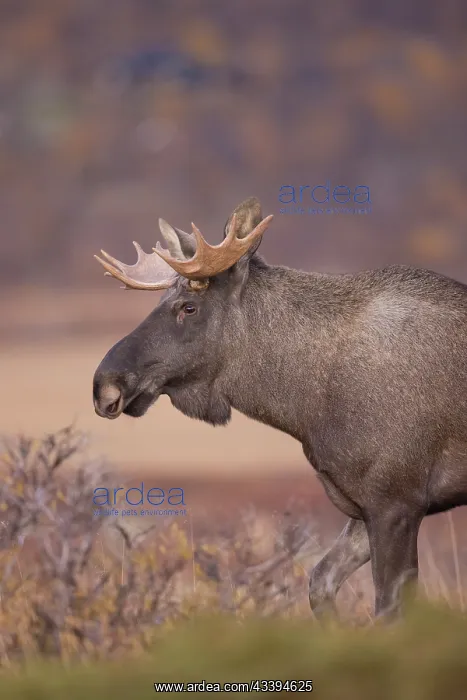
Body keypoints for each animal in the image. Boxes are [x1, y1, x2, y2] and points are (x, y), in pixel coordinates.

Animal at [93, 196, 467, 619]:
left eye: (188, 307)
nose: (104, 385)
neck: (306, 406)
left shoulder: (398, 503)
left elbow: (389, 612)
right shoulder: (362, 507)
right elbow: (319, 583)